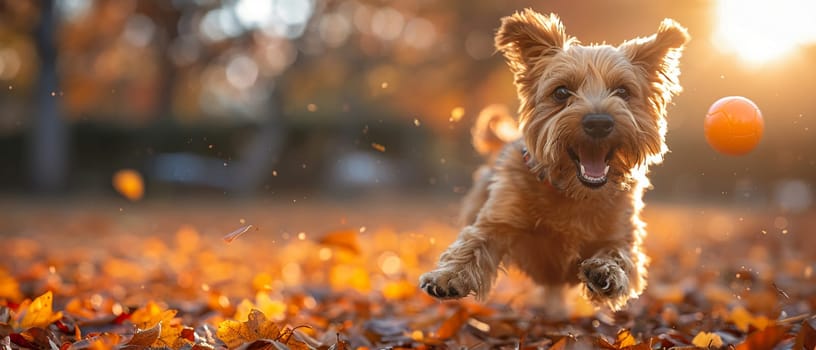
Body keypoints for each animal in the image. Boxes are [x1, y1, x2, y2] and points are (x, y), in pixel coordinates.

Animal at [420, 8, 688, 310]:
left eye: (622, 91)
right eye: (561, 92)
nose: (598, 122)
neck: (574, 193)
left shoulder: (623, 234)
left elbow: (622, 255)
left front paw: (606, 271)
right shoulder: (499, 219)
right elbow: (473, 243)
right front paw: (448, 276)